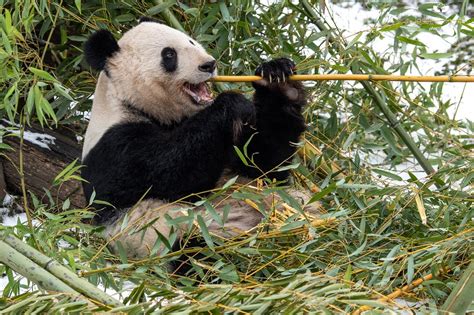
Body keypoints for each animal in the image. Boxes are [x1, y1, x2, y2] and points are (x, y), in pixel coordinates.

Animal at [81, 19, 312, 264]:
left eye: (191, 42)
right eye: (169, 54)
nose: (208, 65)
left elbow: (263, 165)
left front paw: (278, 79)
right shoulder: (115, 147)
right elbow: (171, 175)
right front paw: (230, 104)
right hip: (175, 235)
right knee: (201, 252)